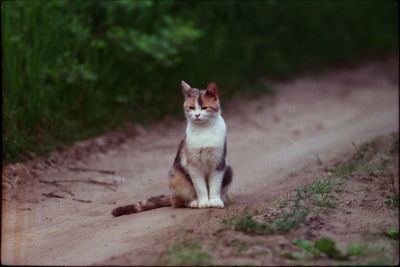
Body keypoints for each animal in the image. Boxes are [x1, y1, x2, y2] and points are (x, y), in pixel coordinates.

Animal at [111, 80, 233, 217]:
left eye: (204, 108)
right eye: (191, 108)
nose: (197, 115)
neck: (204, 130)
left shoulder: (219, 162)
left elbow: (215, 186)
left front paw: (215, 201)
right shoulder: (193, 165)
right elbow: (201, 187)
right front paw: (203, 203)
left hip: (229, 170)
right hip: (177, 176)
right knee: (178, 201)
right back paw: (193, 202)